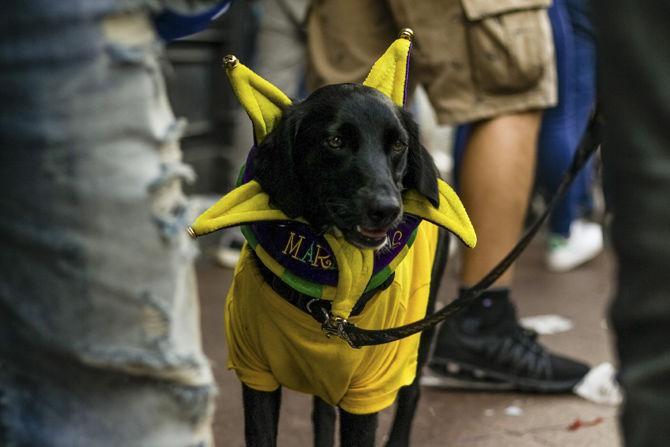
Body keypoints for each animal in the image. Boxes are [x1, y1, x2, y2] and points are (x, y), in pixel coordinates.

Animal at [242, 83, 452, 444]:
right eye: (335, 141)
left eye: (398, 144)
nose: (387, 209)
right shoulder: (255, 375)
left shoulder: (367, 393)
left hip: (421, 329)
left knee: (411, 392)